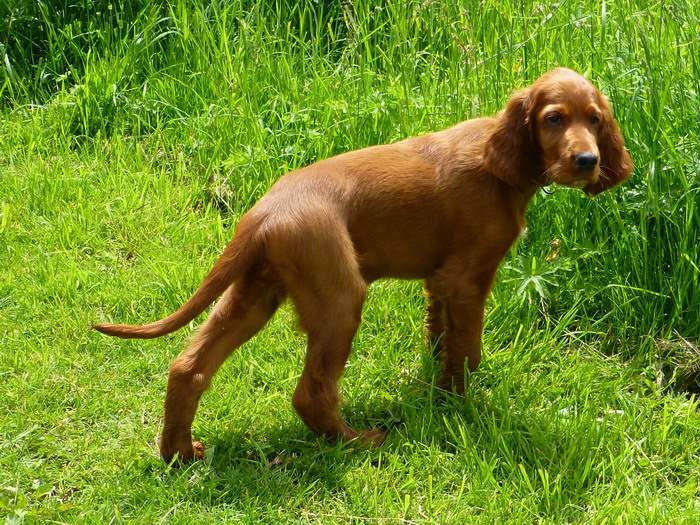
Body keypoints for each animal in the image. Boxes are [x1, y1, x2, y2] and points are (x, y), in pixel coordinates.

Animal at [94, 68, 633, 462]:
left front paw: (435, 394)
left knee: (189, 367)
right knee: (309, 392)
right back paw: (357, 441)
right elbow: (466, 350)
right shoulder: (466, 279)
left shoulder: (439, 282)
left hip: (255, 293)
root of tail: (262, 216)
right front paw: (460, 407)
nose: (587, 161)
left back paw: (179, 453)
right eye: (554, 119)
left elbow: (441, 338)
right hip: (339, 298)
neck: (501, 161)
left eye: (595, 120)